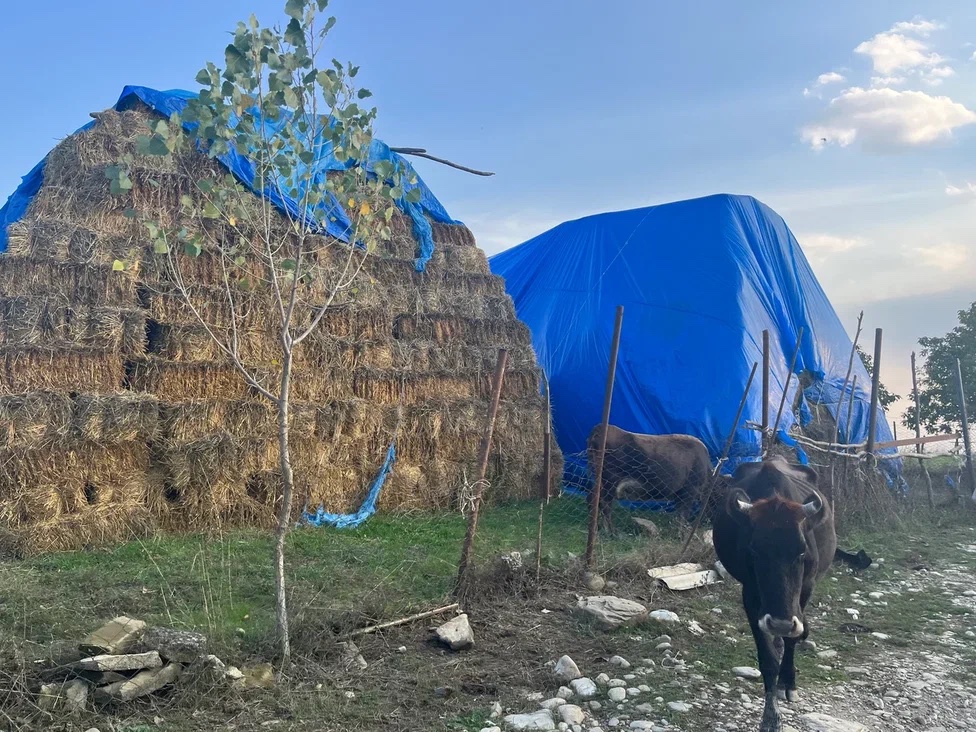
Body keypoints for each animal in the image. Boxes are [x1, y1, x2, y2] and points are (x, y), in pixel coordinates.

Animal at [708, 458, 840, 732]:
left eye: (801, 551)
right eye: (754, 549)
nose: (780, 623)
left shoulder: (806, 589)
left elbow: (793, 638)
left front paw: (787, 682)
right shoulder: (750, 595)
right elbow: (767, 657)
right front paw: (770, 716)